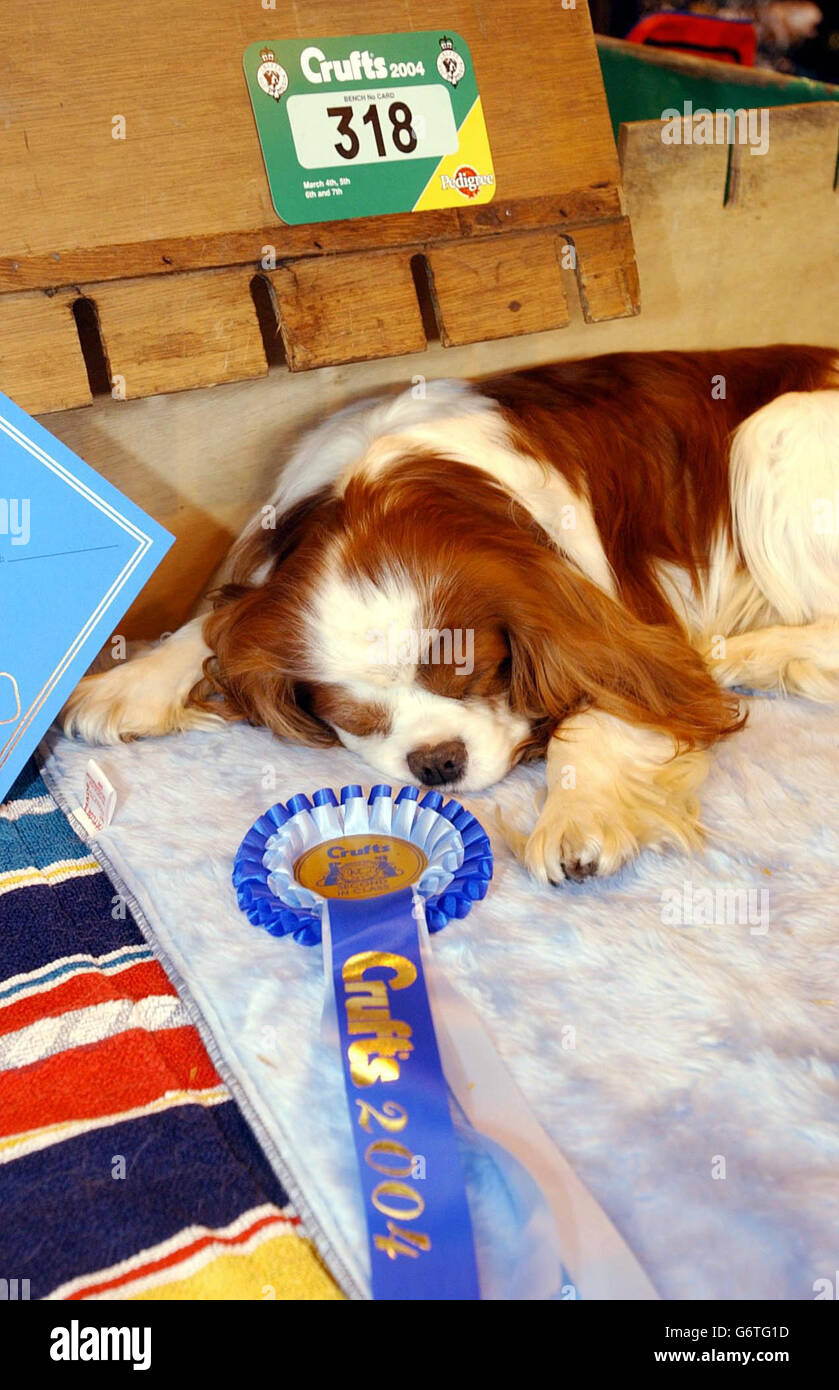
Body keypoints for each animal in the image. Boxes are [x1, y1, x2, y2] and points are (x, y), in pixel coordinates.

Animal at [63, 350, 839, 889]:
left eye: (476, 674)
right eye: (353, 718)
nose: (436, 761)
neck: (384, 482)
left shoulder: (625, 617)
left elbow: (606, 703)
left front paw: (579, 814)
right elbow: (215, 624)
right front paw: (129, 682)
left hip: (773, 430)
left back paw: (742, 654)